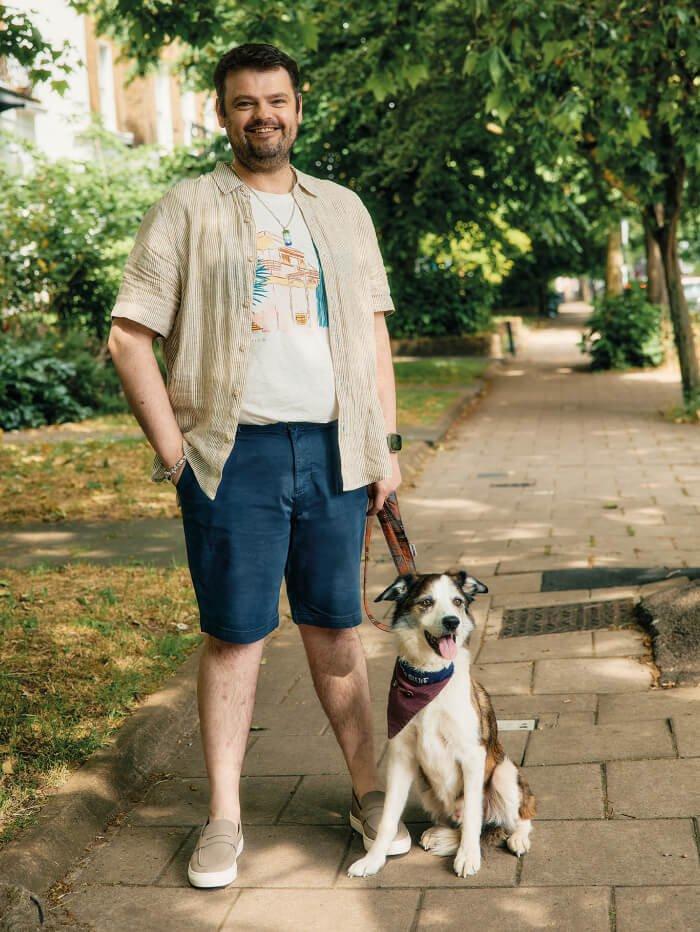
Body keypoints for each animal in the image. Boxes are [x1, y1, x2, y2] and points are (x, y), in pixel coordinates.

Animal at [346, 568, 536, 880]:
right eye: (426, 602)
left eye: (458, 601)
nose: (452, 622)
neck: (429, 677)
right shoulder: (401, 758)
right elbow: (387, 818)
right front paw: (372, 860)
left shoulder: (472, 756)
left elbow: (472, 814)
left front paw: (468, 857)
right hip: (426, 789)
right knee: (466, 824)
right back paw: (442, 835)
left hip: (504, 774)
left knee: (518, 816)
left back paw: (517, 838)